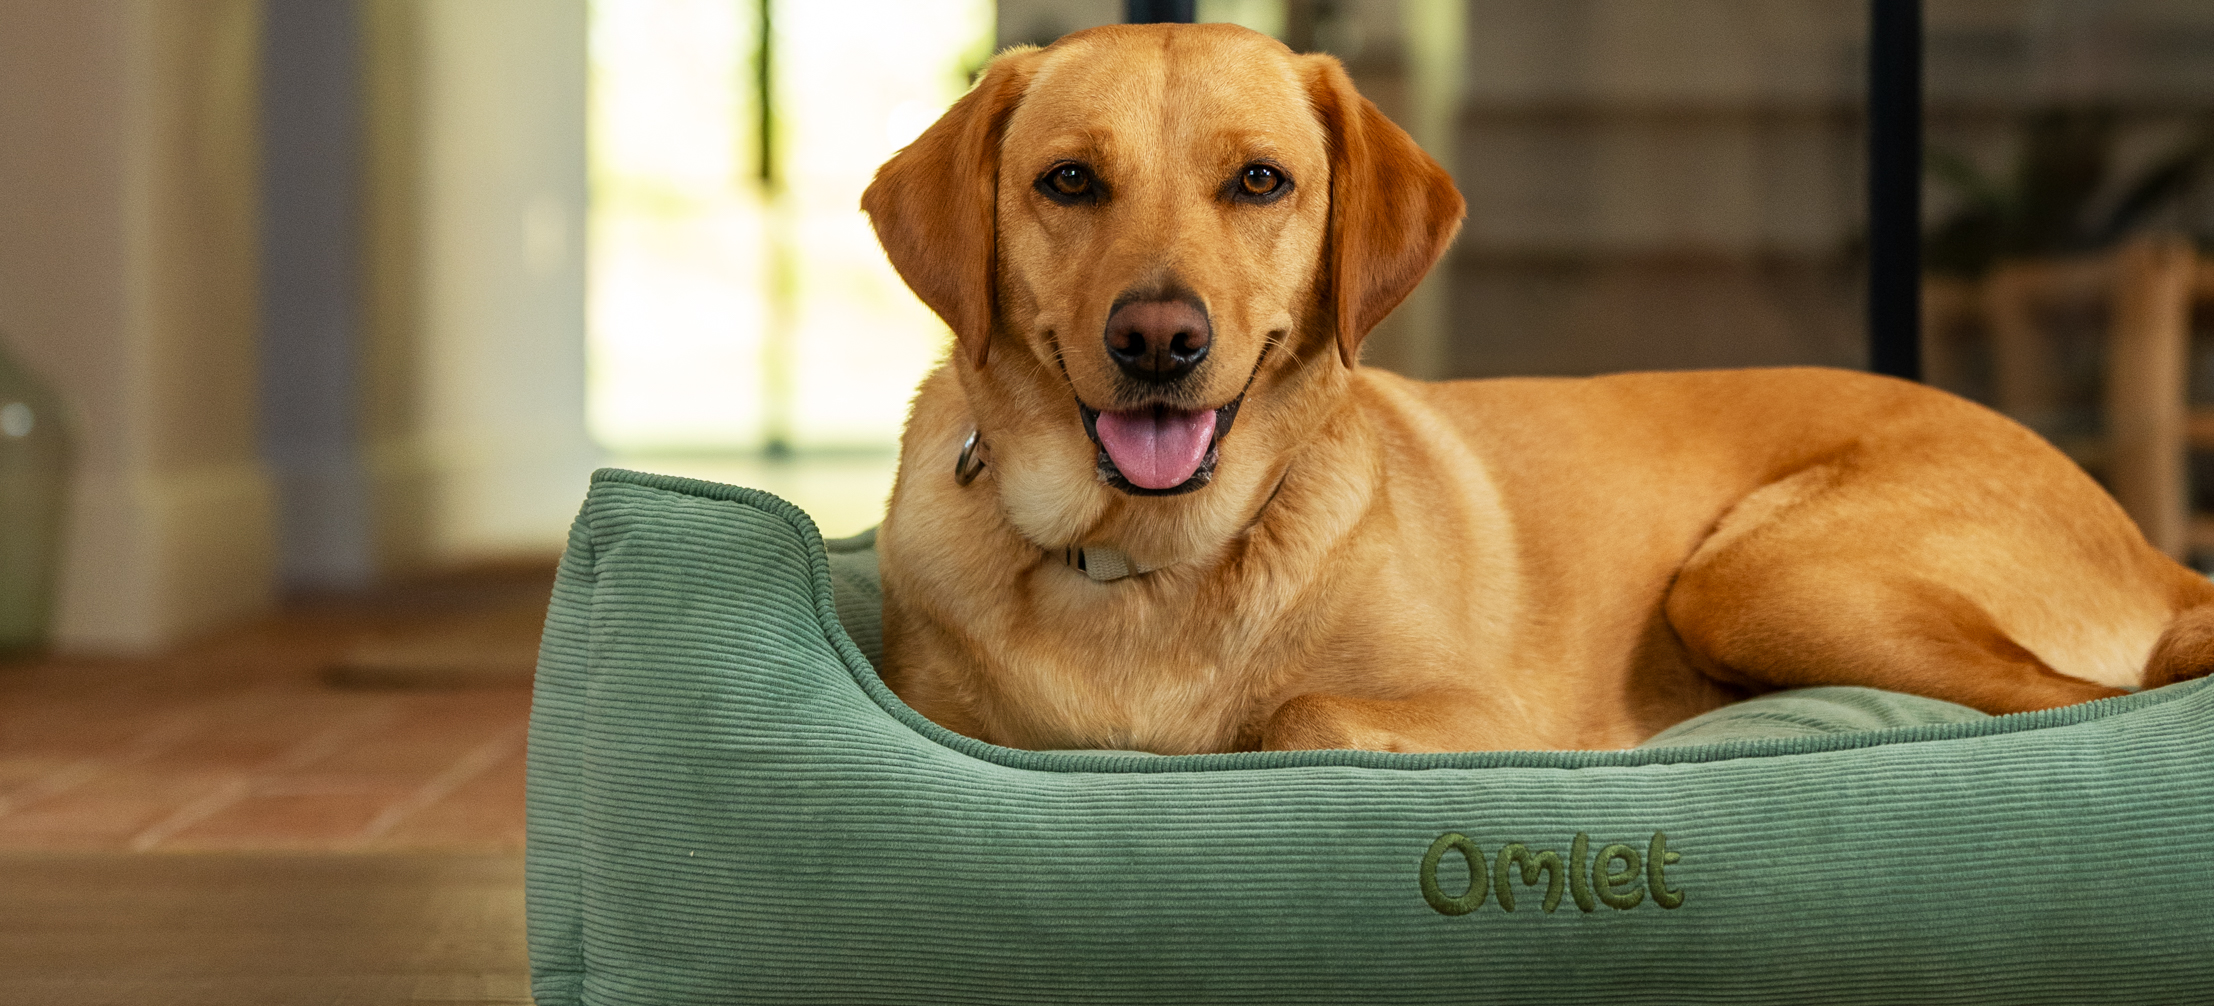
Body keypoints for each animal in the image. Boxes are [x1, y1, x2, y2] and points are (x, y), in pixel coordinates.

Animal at [850, 21, 2214, 753]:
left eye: (1260, 181)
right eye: (1070, 182)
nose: (1156, 340)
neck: (1145, 562)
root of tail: (2144, 541)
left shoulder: (1495, 715)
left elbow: (1295, 715)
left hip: (1756, 575)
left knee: (2103, 696)